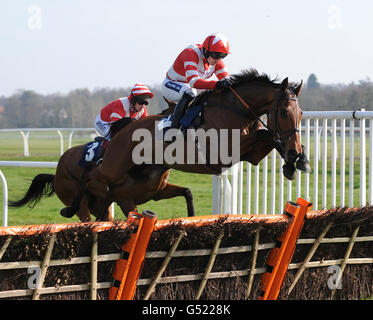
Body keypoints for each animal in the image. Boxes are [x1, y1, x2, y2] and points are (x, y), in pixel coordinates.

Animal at [65, 69, 304, 220]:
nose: (295, 150)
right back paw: (71, 208)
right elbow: (266, 134)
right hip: (114, 166)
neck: (235, 110)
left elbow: (268, 137)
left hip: (140, 179)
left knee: (112, 192)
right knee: (91, 174)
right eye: (284, 112)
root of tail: (123, 127)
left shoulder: (251, 155)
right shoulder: (221, 153)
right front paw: (293, 161)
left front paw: (293, 164)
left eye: (300, 113)